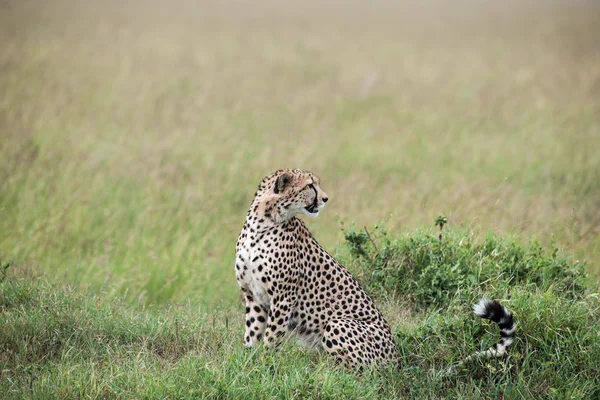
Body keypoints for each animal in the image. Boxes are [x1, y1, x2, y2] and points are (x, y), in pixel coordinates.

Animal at [234, 169, 516, 368]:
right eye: (309, 186)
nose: (325, 198)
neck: (263, 222)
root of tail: (397, 362)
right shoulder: (253, 296)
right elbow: (252, 333)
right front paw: (249, 363)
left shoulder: (284, 297)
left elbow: (272, 337)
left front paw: (266, 364)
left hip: (337, 324)